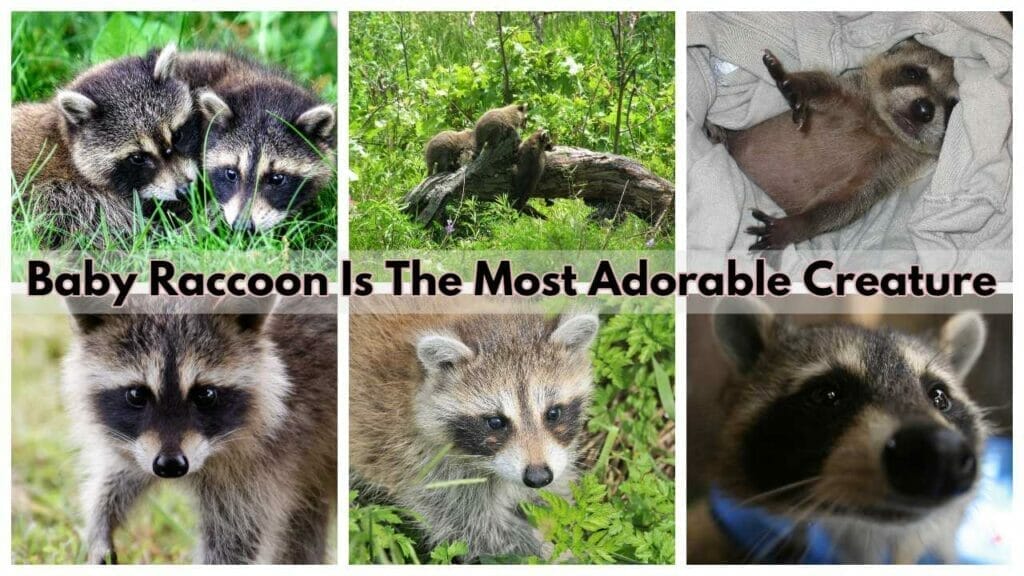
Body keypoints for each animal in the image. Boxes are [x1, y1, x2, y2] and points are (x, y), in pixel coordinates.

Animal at [62, 295, 337, 564]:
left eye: (205, 395)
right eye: (136, 394)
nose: (170, 466)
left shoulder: (265, 461)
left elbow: (234, 543)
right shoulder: (139, 443)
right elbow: (122, 473)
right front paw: (99, 522)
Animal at [349, 297, 599, 560]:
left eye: (553, 413)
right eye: (496, 422)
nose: (538, 477)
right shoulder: (417, 461)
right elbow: (480, 530)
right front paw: (559, 556)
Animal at [711, 38, 959, 252]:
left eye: (953, 105)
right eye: (913, 73)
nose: (923, 109)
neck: (882, 127)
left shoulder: (888, 169)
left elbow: (846, 204)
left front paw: (798, 224)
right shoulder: (852, 94)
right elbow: (823, 86)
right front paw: (799, 85)